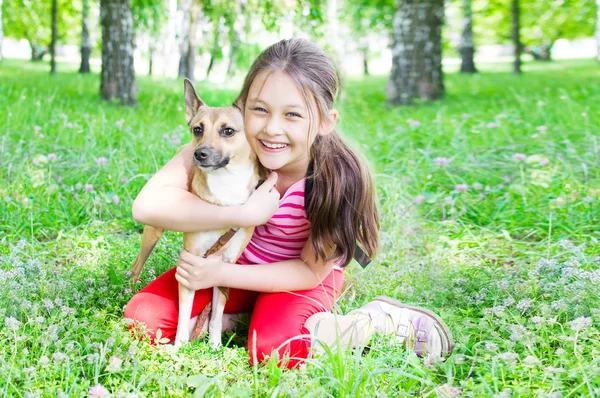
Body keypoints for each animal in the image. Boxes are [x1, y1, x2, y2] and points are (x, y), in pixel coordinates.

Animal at [130, 78, 264, 348]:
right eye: (197, 129)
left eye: (228, 131)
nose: (199, 154)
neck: (226, 188)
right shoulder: (189, 263)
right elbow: (183, 316)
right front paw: (179, 349)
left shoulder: (225, 266)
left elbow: (216, 314)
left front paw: (214, 345)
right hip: (152, 232)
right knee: (137, 263)